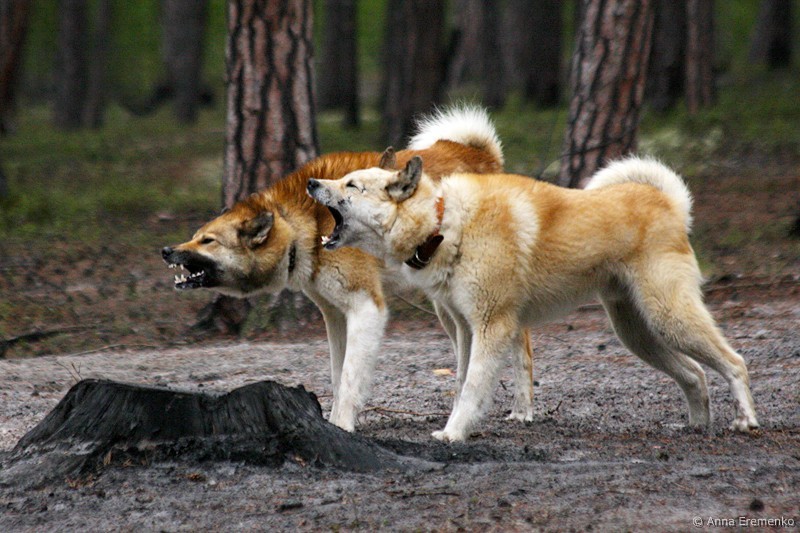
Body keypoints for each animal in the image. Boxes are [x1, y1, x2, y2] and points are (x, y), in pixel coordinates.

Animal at [162, 107, 535, 431]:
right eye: (195, 236)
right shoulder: (335, 316)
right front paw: (331, 422)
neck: (306, 224)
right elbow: (337, 375)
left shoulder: (367, 309)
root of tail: (478, 153)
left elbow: (350, 378)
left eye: (208, 241)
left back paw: (522, 410)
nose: (167, 250)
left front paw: (342, 424)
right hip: (448, 309)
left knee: (521, 345)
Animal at [307, 155, 760, 441]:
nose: (311, 183)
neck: (443, 221)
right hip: (638, 333)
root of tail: (669, 203)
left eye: (352, 184)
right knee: (695, 375)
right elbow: (462, 383)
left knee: (735, 362)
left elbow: (472, 388)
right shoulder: (466, 330)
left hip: (670, 317)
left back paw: (746, 421)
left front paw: (453, 434)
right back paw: (695, 427)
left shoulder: (493, 326)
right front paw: (461, 427)